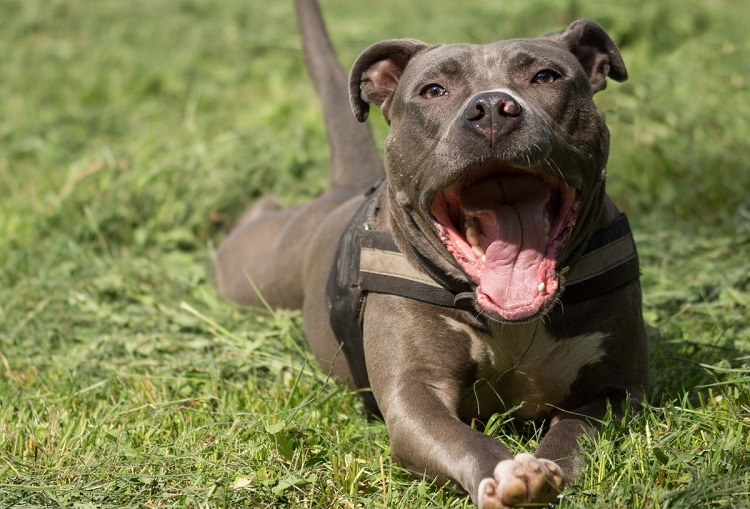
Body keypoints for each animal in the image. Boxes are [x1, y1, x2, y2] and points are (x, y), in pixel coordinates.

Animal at [214, 1, 648, 506]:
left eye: (545, 76)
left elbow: (573, 433)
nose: (492, 107)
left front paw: (546, 470)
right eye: (433, 90)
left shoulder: (616, 388)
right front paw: (505, 474)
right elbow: (462, 438)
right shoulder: (413, 395)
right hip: (252, 269)